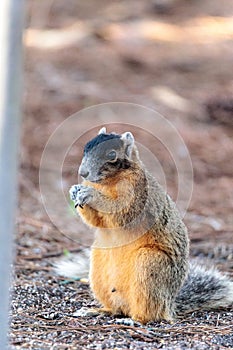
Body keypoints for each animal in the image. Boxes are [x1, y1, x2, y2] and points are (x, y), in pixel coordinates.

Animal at [66, 127, 233, 324]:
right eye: (86, 147)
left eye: (112, 154)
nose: (83, 173)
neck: (108, 182)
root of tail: (170, 305)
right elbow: (96, 220)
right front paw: (74, 190)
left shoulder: (138, 194)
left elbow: (121, 211)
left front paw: (90, 194)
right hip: (99, 269)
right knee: (116, 308)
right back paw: (97, 310)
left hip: (149, 265)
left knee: (151, 313)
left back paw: (134, 320)